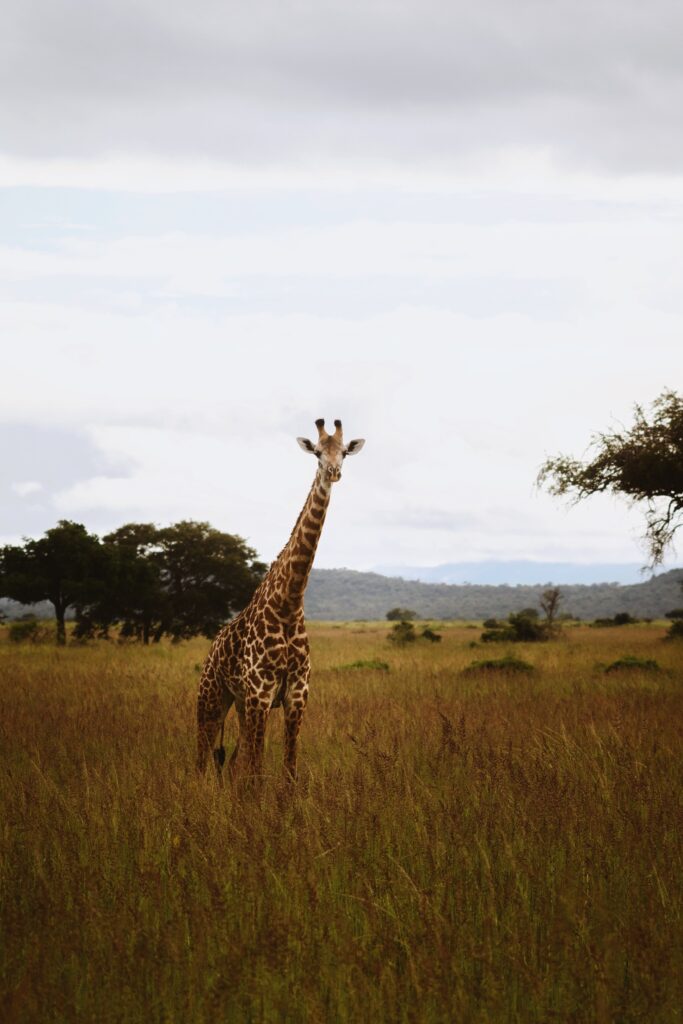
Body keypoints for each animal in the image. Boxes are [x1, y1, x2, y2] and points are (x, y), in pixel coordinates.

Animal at [196, 418, 365, 780]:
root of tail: (211, 648)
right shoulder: (261, 694)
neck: (288, 604)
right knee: (203, 758)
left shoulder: (296, 696)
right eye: (317, 452)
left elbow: (288, 771)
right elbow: (258, 771)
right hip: (212, 697)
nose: (333, 472)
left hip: (241, 704)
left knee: (234, 761)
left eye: (344, 452)